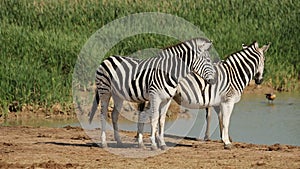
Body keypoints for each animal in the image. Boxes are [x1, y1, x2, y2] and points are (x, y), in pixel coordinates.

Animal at [88, 37, 217, 150]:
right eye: (208, 60)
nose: (214, 81)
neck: (168, 72)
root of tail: (107, 58)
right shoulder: (155, 97)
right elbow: (154, 118)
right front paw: (154, 145)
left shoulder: (167, 99)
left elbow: (162, 120)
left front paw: (162, 144)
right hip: (105, 91)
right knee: (103, 114)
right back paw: (104, 143)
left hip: (118, 95)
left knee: (114, 115)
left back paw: (119, 142)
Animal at [137, 41, 270, 149]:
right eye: (264, 60)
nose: (259, 81)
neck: (233, 74)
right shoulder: (228, 101)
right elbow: (226, 120)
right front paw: (227, 142)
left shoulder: (218, 102)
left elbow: (220, 118)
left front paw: (223, 139)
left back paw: (144, 141)